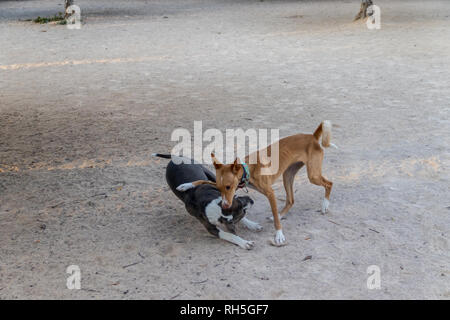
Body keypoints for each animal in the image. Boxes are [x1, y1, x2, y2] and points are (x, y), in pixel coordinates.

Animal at [178, 121, 336, 246]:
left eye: (228, 187)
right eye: (219, 188)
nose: (225, 206)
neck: (249, 170)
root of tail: (313, 136)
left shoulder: (270, 193)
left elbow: (276, 219)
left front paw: (279, 235)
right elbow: (203, 180)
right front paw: (186, 185)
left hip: (312, 176)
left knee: (329, 183)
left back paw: (325, 205)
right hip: (288, 176)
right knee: (291, 200)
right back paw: (282, 214)